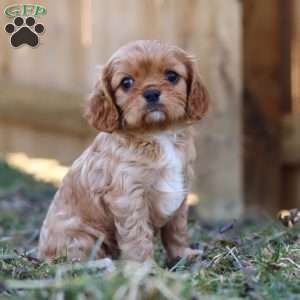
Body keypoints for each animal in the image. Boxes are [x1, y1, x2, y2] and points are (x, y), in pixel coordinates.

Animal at [38, 40, 209, 262]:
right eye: (126, 82)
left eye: (172, 76)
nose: (151, 93)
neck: (158, 133)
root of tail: (40, 253)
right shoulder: (128, 196)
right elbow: (137, 235)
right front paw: (144, 265)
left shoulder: (181, 186)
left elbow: (177, 229)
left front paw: (183, 255)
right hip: (82, 237)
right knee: (76, 261)